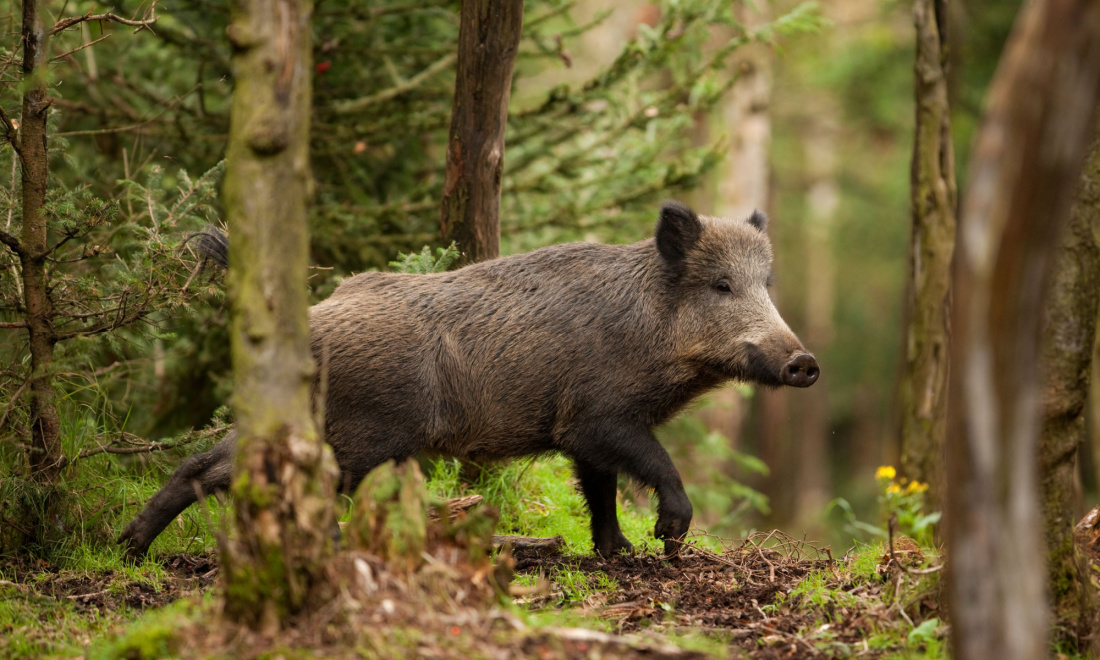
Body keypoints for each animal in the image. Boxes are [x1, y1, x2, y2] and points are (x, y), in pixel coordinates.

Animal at [119, 202, 818, 559]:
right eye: (721, 285)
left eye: (766, 283)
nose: (805, 363)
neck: (651, 329)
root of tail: (315, 318)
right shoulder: (599, 414)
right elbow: (650, 465)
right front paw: (668, 537)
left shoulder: (579, 432)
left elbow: (599, 491)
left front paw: (617, 553)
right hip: (362, 436)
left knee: (202, 465)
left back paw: (127, 548)